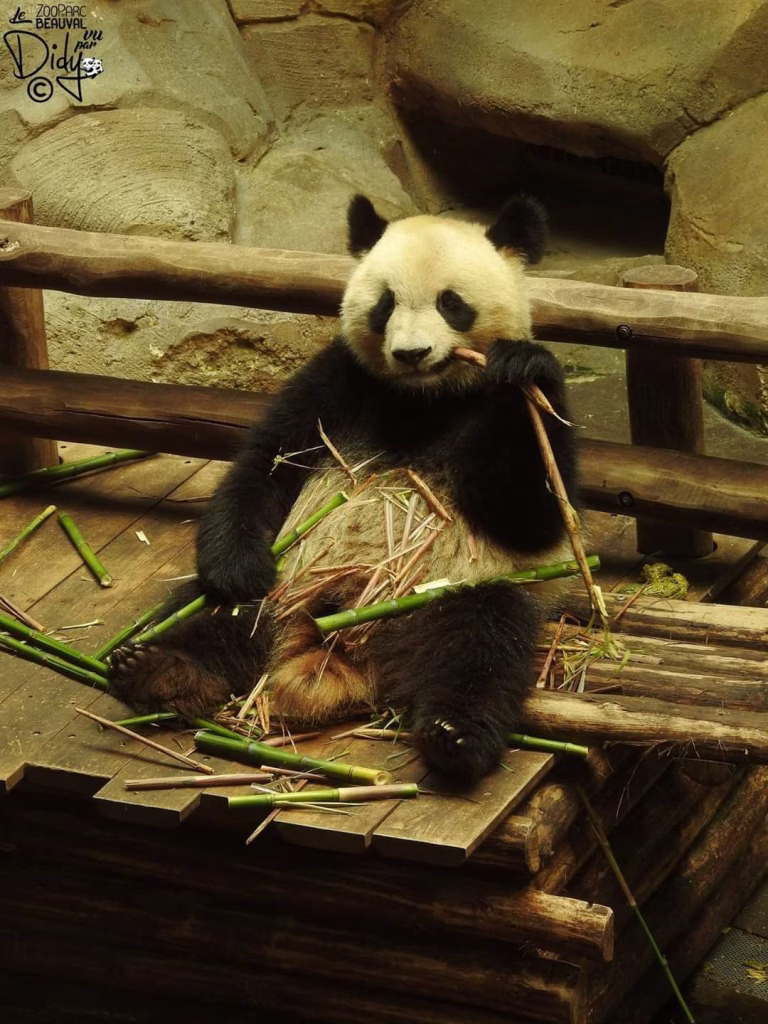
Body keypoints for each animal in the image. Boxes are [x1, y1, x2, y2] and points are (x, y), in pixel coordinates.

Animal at [110, 194, 577, 783]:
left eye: (452, 303)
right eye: (385, 304)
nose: (412, 354)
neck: (423, 399)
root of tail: (344, 648)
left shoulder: (487, 420)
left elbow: (531, 514)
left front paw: (523, 368)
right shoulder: (338, 382)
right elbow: (266, 465)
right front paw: (238, 568)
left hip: (455, 592)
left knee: (483, 643)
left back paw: (455, 736)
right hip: (291, 580)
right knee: (210, 613)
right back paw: (159, 669)